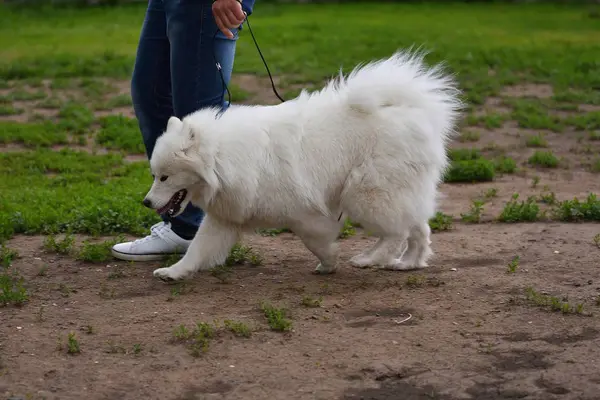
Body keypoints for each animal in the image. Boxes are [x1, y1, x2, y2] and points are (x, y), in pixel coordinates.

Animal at [145, 49, 464, 282]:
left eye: (164, 177)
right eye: (154, 175)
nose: (146, 202)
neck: (224, 158)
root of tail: (410, 110)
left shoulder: (304, 213)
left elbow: (315, 242)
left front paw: (329, 262)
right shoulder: (225, 217)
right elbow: (198, 250)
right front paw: (173, 272)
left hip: (366, 193)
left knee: (397, 232)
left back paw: (369, 258)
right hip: (398, 192)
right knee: (419, 228)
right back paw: (409, 263)